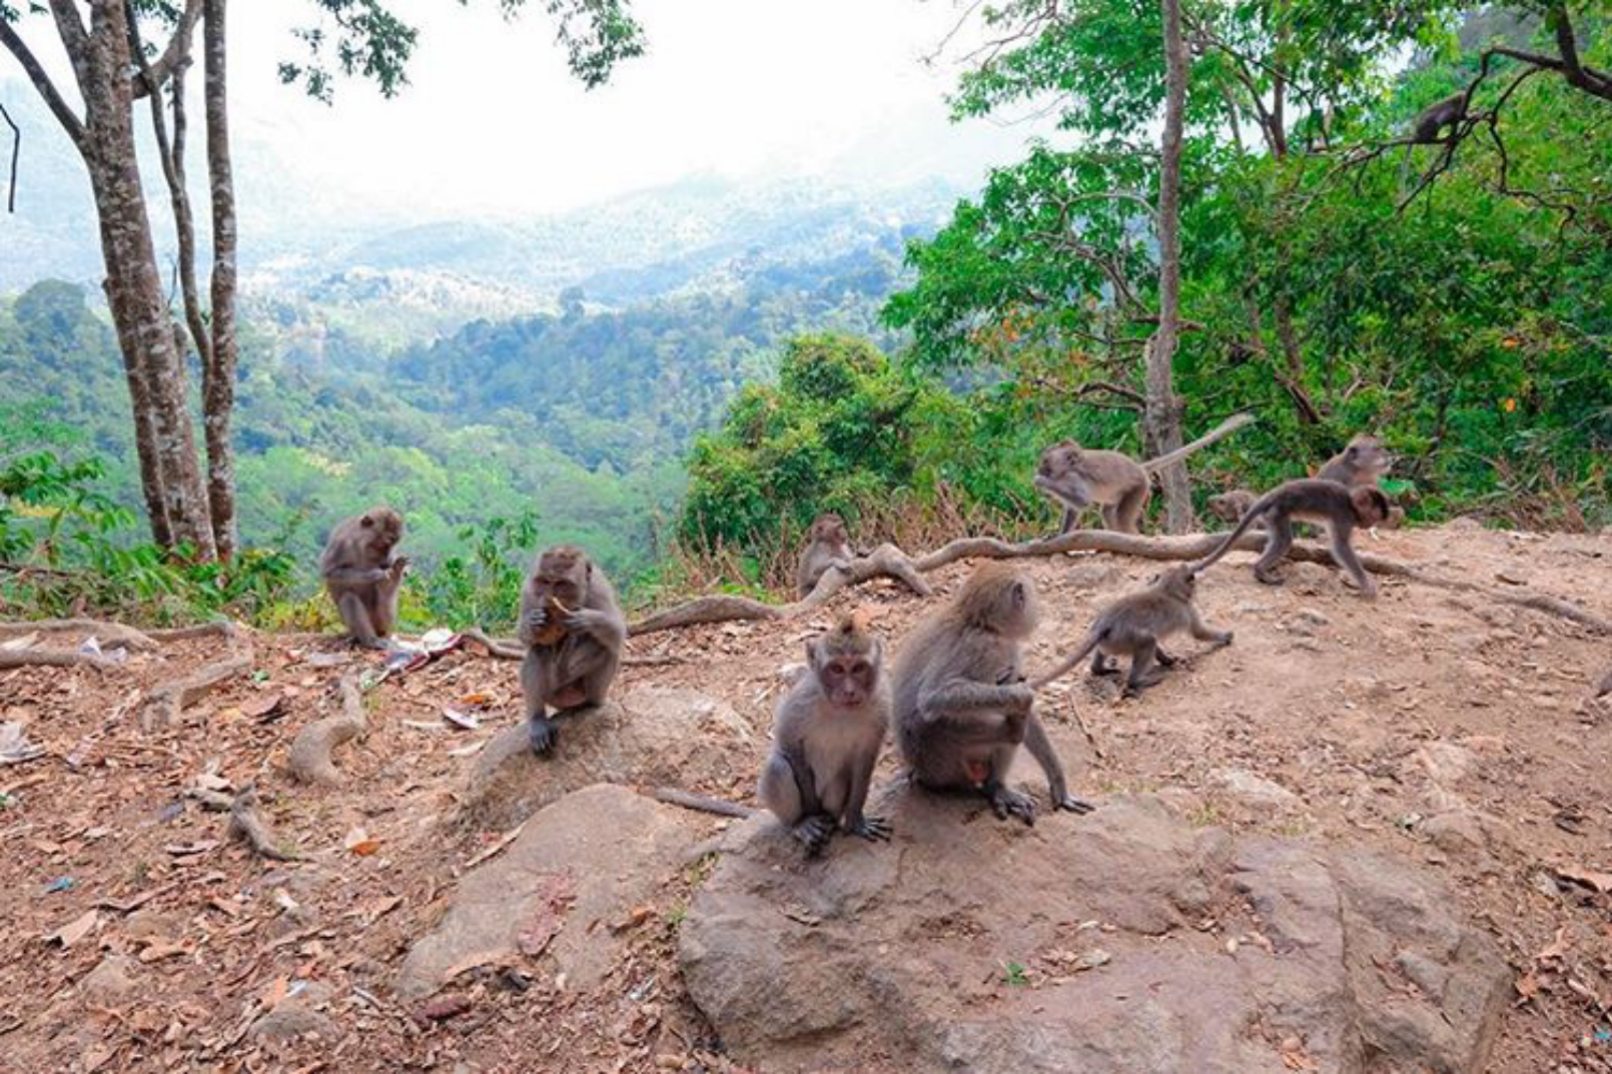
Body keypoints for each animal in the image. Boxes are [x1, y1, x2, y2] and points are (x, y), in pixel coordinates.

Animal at [515, 545, 622, 751]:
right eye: (545, 581)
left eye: (561, 584)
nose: (549, 598)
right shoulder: (528, 590)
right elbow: (524, 638)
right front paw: (532, 624)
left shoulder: (599, 587)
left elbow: (618, 633)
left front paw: (585, 619)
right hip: (554, 697)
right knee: (538, 652)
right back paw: (537, 719)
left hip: (587, 693)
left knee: (605, 647)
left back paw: (590, 705)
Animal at [889, 564, 1102, 822]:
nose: (1036, 611)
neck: (980, 623)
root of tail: (915, 770)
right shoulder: (986, 648)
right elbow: (934, 696)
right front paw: (1021, 694)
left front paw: (1059, 783)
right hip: (938, 759)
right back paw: (1011, 731)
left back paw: (996, 786)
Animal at [1031, 564, 1231, 699]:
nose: (1195, 589)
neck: (1167, 590)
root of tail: (1105, 624)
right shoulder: (1187, 609)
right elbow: (1199, 633)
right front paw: (1226, 637)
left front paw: (1166, 660)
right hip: (1124, 638)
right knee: (1147, 641)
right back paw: (1138, 681)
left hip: (1109, 641)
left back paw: (1099, 670)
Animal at [1192, 477, 1392, 593]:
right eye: (1373, 517)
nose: (1369, 525)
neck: (1351, 504)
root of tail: (1272, 494)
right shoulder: (1344, 517)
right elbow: (1341, 548)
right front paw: (1366, 584)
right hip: (1276, 512)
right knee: (1284, 540)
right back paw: (1260, 570)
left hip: (1270, 515)